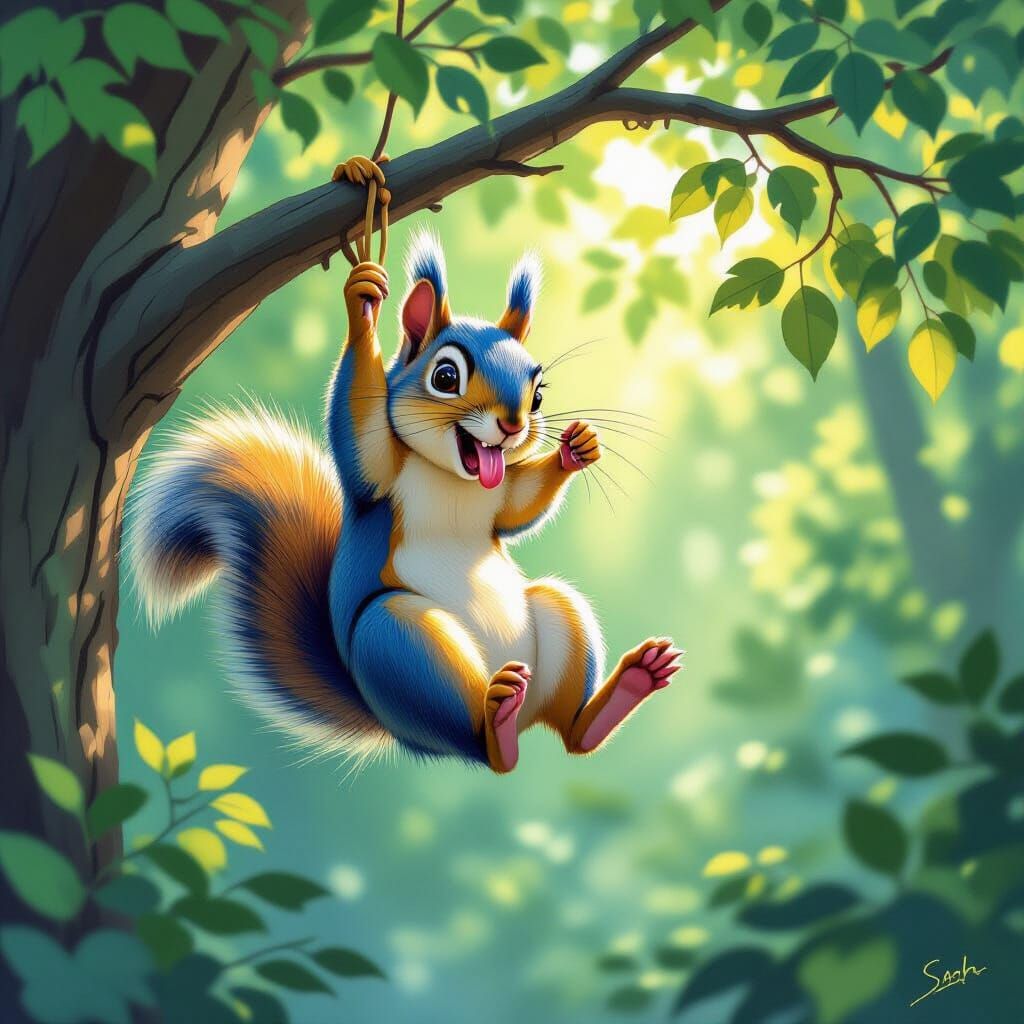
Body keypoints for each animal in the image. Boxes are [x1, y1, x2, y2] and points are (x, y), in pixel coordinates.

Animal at [131, 226, 681, 773]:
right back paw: (499, 723)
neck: (454, 477)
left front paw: (578, 447)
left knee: (572, 732)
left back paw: (622, 692)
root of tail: (394, 725)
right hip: (401, 641)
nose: (512, 425)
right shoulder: (380, 476)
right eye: (445, 377)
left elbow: (517, 507)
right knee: (484, 746)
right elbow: (365, 443)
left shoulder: (498, 496)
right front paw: (362, 305)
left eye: (539, 395)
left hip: (557, 613)